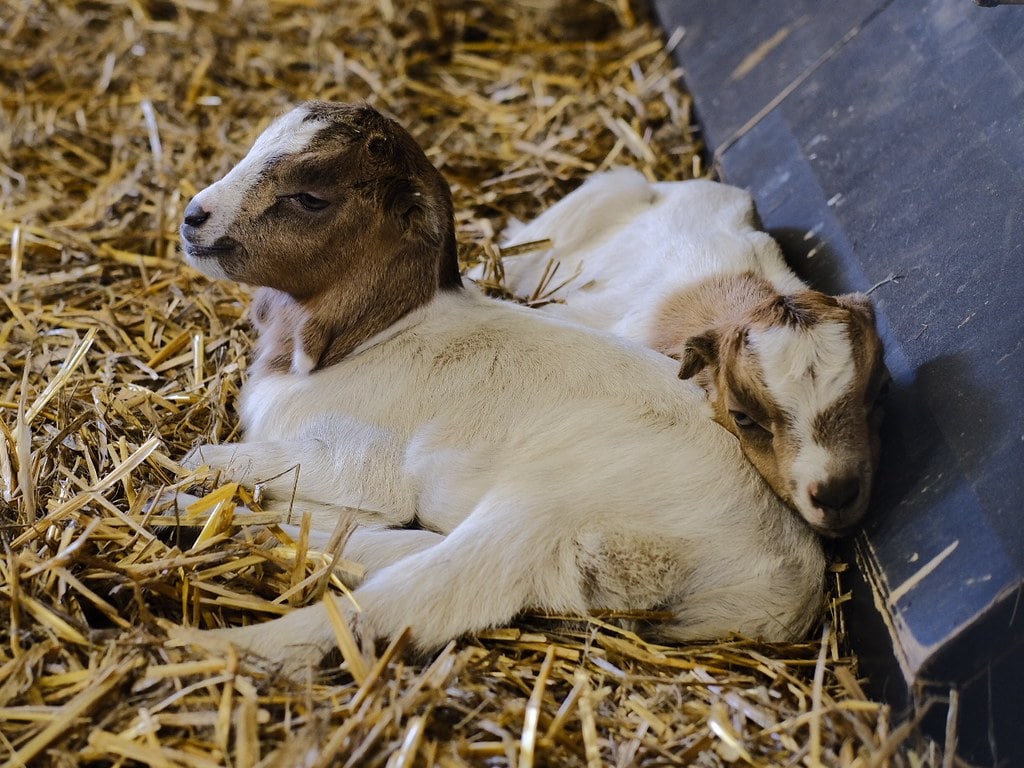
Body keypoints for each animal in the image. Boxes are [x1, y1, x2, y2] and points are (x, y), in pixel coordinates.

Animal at [177, 102, 825, 673]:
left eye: (311, 197)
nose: (193, 215)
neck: (373, 339)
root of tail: (785, 576)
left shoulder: (355, 461)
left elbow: (201, 455)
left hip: (548, 509)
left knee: (425, 595)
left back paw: (208, 638)